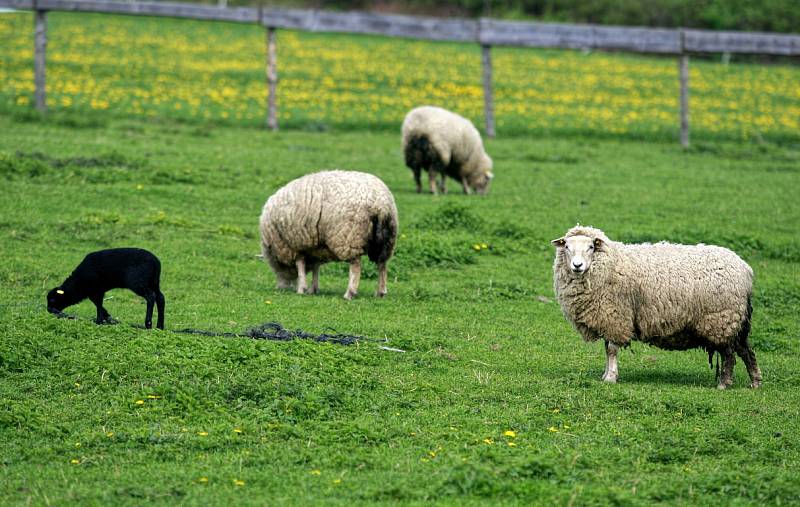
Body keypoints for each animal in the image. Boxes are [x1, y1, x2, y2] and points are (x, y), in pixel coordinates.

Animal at [260, 171, 398, 300]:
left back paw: (350, 293)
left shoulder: (295, 244)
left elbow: (300, 265)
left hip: (351, 237)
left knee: (356, 266)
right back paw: (380, 292)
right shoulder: (314, 247)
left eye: (274, 266)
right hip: (387, 240)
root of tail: (381, 204)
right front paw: (312, 289)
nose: (280, 288)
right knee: (382, 264)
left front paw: (301, 289)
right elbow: (315, 267)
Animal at [552, 224, 764, 390]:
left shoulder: (616, 316)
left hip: (721, 319)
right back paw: (755, 382)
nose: (577, 265)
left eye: (590, 247)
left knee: (729, 353)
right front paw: (606, 375)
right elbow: (607, 350)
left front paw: (610, 378)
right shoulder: (609, 318)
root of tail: (746, 271)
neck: (609, 263)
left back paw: (724, 383)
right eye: (567, 247)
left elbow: (611, 349)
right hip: (736, 321)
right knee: (746, 350)